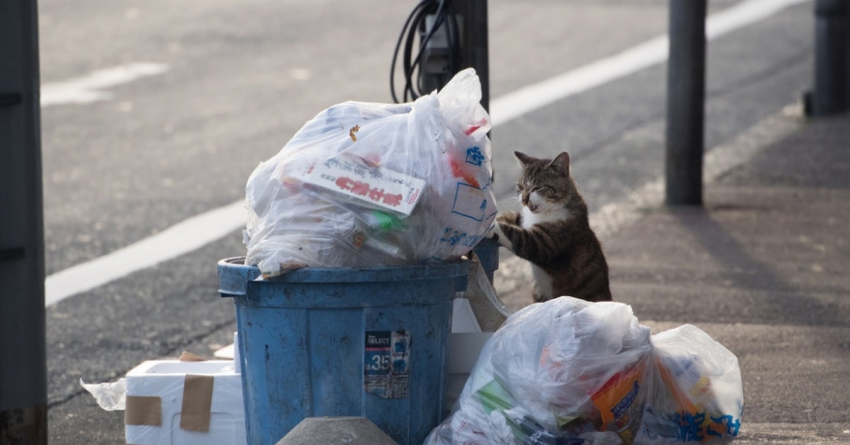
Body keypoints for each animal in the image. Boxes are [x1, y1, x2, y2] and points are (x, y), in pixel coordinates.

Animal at [490, 152, 608, 302]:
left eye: (538, 188)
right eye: (521, 186)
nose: (524, 199)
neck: (544, 212)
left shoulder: (547, 241)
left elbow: (518, 236)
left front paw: (489, 227)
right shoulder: (525, 221)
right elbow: (515, 217)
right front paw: (499, 216)